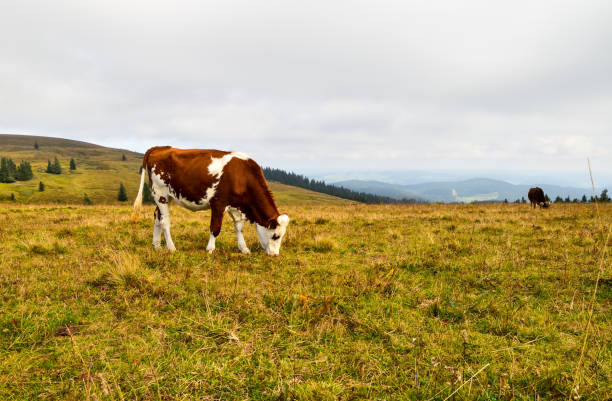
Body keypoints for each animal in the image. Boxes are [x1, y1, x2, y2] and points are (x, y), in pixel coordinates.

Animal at [132, 147, 290, 256]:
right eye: (276, 235)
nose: (275, 255)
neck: (242, 176)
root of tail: (160, 148)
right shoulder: (218, 204)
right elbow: (215, 228)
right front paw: (210, 249)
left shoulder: (236, 206)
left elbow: (239, 227)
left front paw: (244, 248)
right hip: (161, 194)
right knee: (165, 221)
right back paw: (171, 248)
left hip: (165, 197)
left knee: (157, 217)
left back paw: (157, 246)